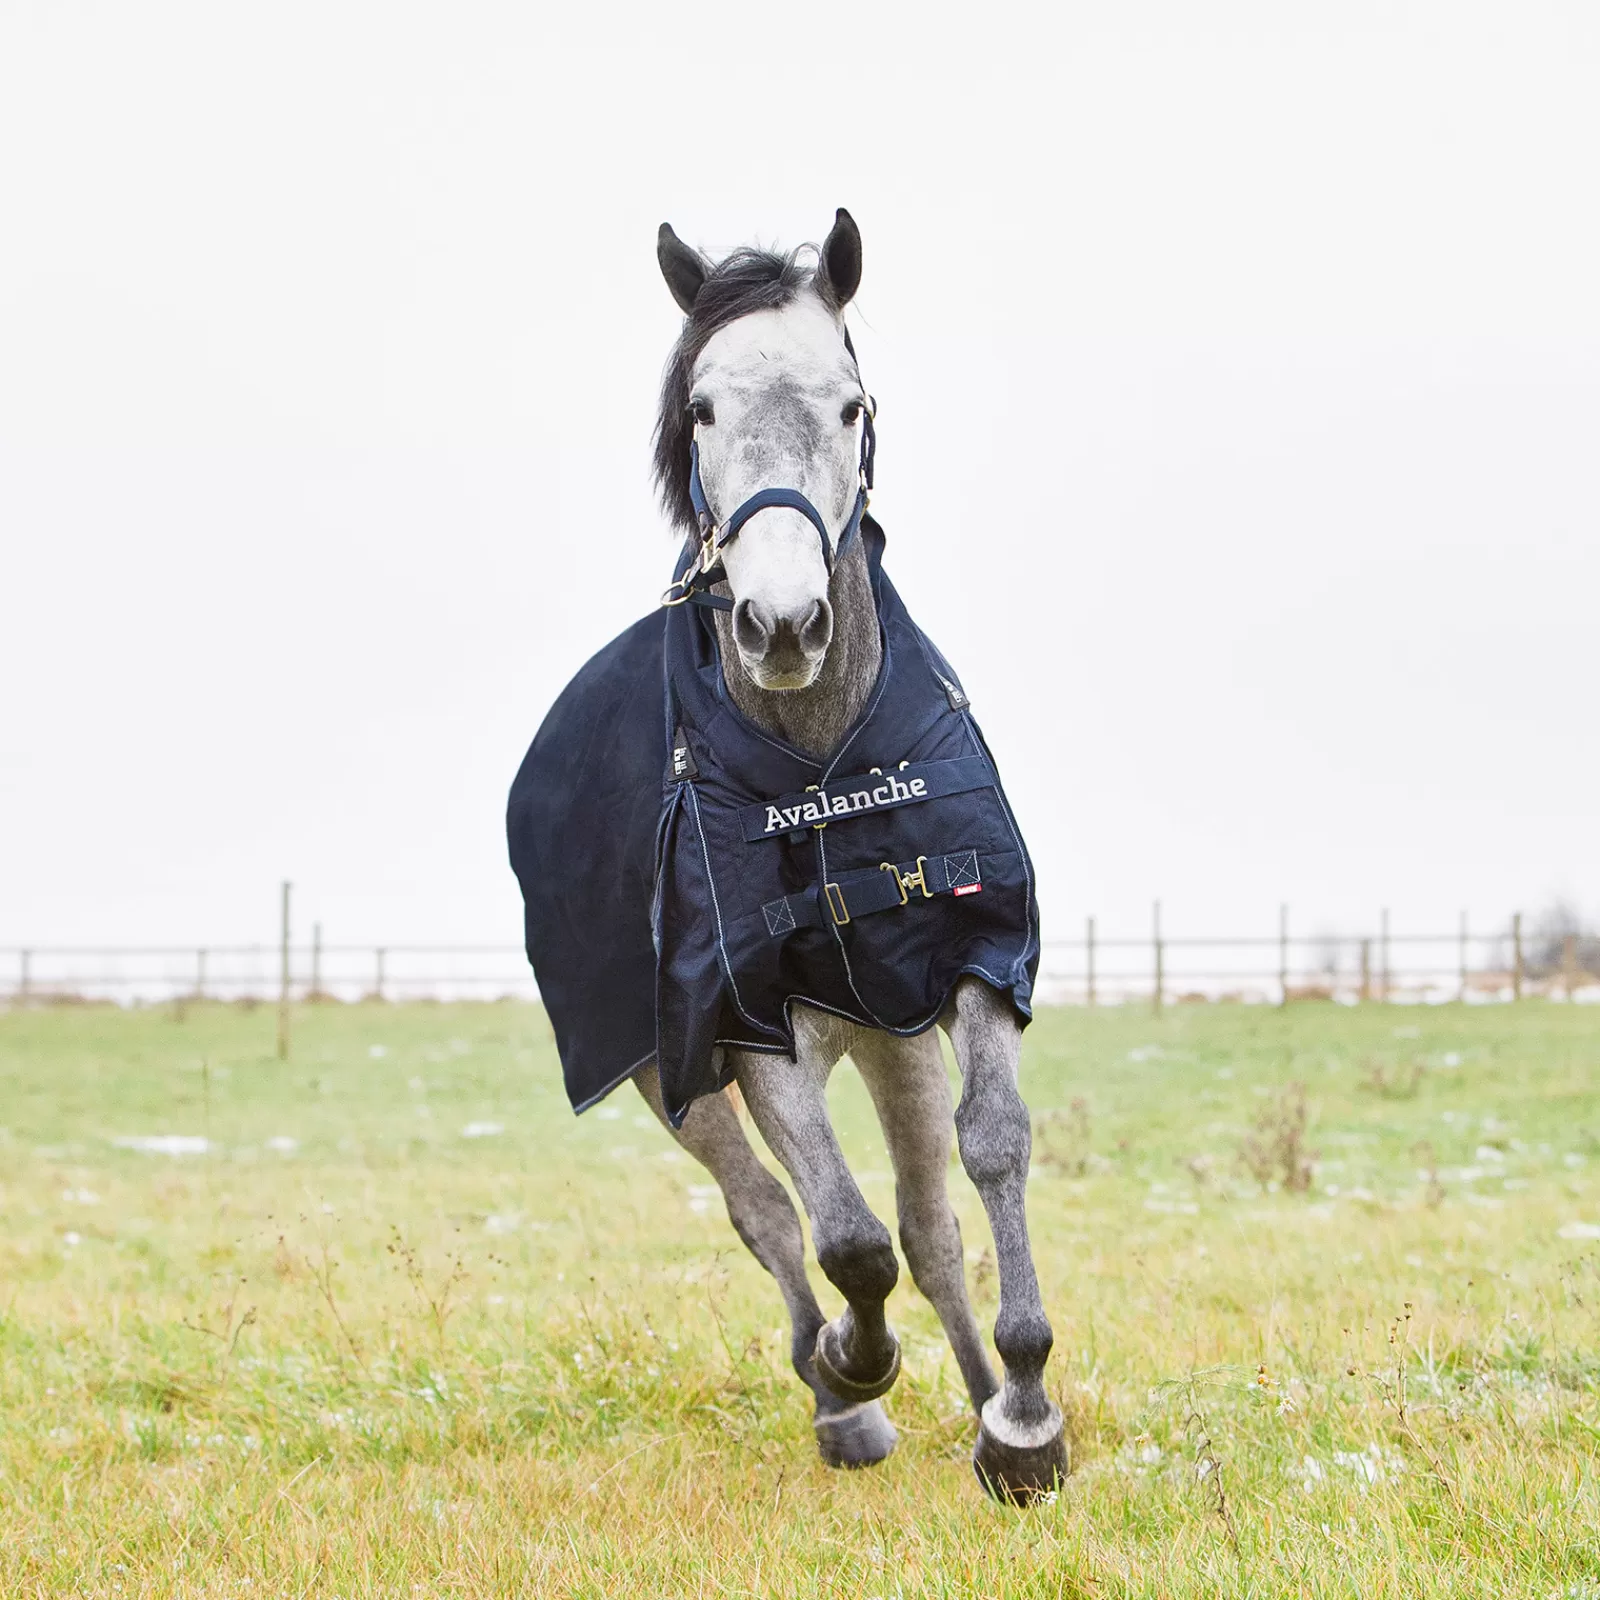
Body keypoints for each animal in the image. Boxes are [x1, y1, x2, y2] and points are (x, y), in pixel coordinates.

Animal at [508, 212, 1062, 1497]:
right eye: (702, 407)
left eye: (852, 405)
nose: (781, 623)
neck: (818, 765)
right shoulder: (743, 1017)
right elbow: (844, 1238)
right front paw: (859, 1365)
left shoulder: (963, 961)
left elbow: (988, 1153)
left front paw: (1021, 1412)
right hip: (667, 1071)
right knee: (767, 1211)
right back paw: (837, 1400)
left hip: (884, 1036)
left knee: (928, 1226)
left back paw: (975, 1397)